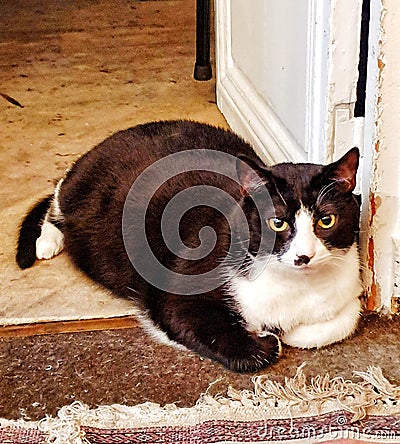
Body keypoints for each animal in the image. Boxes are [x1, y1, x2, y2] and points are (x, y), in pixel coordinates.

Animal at [15, 119, 362, 372]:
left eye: (326, 221)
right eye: (278, 223)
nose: (304, 256)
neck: (295, 288)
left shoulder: (346, 291)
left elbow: (341, 322)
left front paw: (285, 331)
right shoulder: (177, 290)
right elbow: (194, 322)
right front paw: (266, 341)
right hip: (80, 188)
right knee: (56, 196)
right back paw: (47, 240)